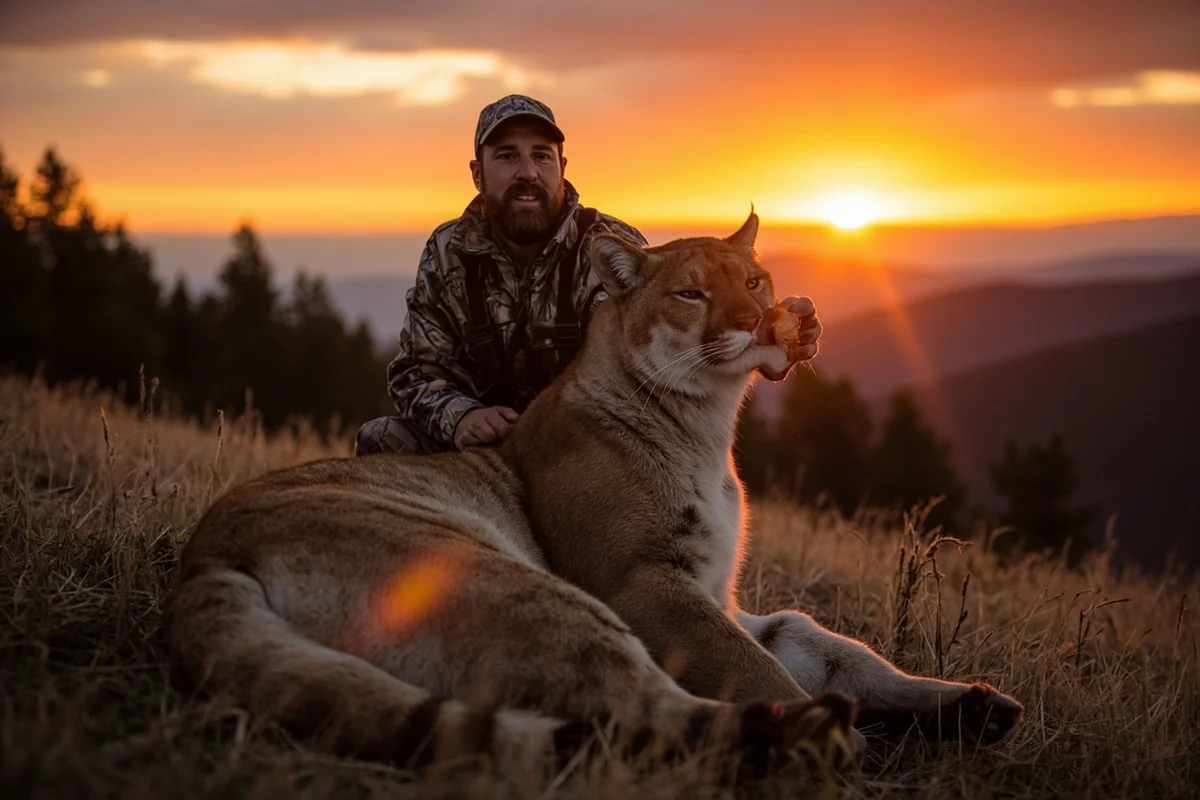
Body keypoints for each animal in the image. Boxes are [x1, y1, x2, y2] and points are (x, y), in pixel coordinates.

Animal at [165, 213, 1021, 776]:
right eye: (690, 294)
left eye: (754, 280)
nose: (761, 321)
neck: (707, 426)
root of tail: (203, 556)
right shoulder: (645, 582)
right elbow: (754, 668)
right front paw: (861, 723)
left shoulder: (719, 589)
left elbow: (827, 646)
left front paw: (970, 702)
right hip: (523, 588)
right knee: (647, 711)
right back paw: (814, 742)